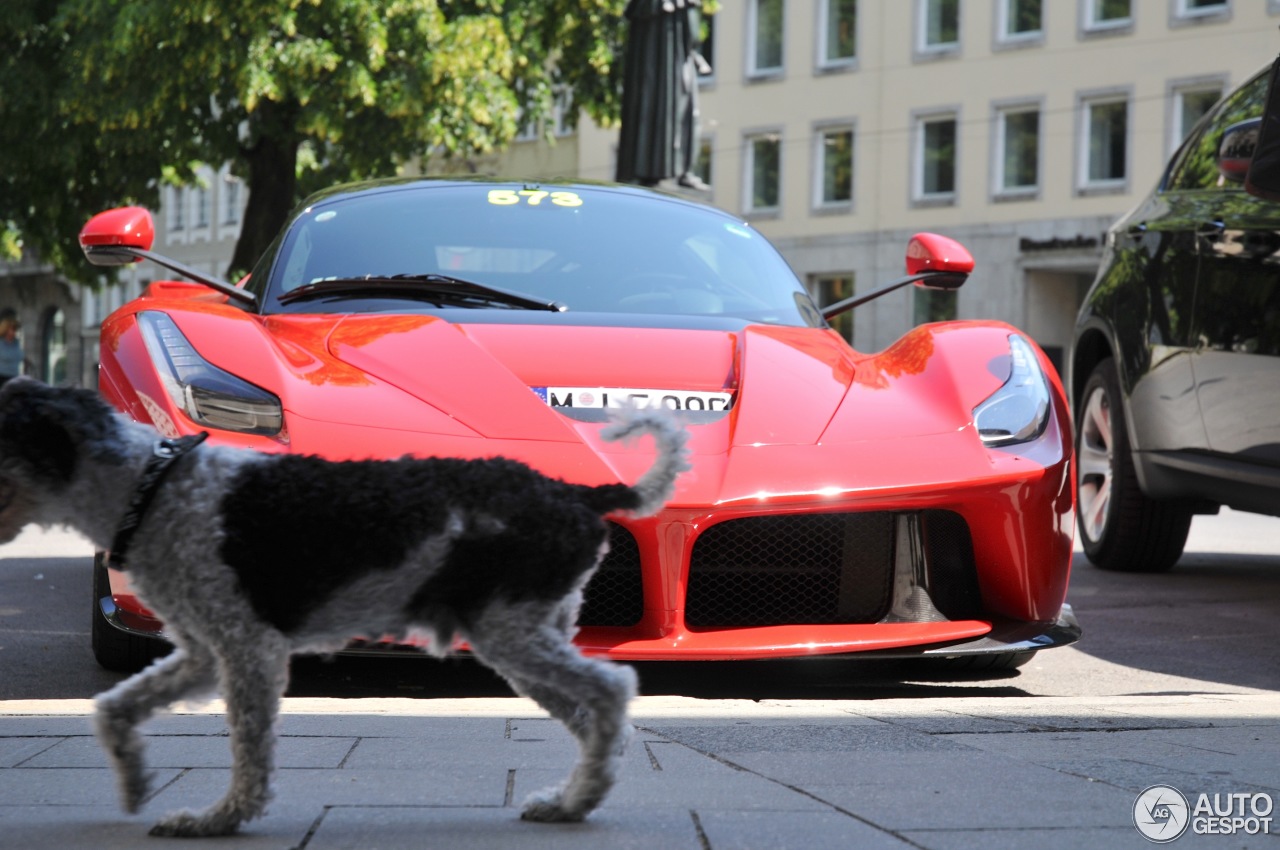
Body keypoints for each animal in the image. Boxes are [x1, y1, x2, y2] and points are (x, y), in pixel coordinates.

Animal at [0, 378, 691, 834]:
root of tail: (577, 494)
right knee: (596, 718)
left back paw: (579, 800)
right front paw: (135, 781)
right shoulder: (204, 652)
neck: (153, 486)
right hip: (525, 638)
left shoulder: (249, 651)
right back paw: (573, 802)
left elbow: (250, 753)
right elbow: (114, 707)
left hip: (513, 633)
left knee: (612, 691)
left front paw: (222, 818)